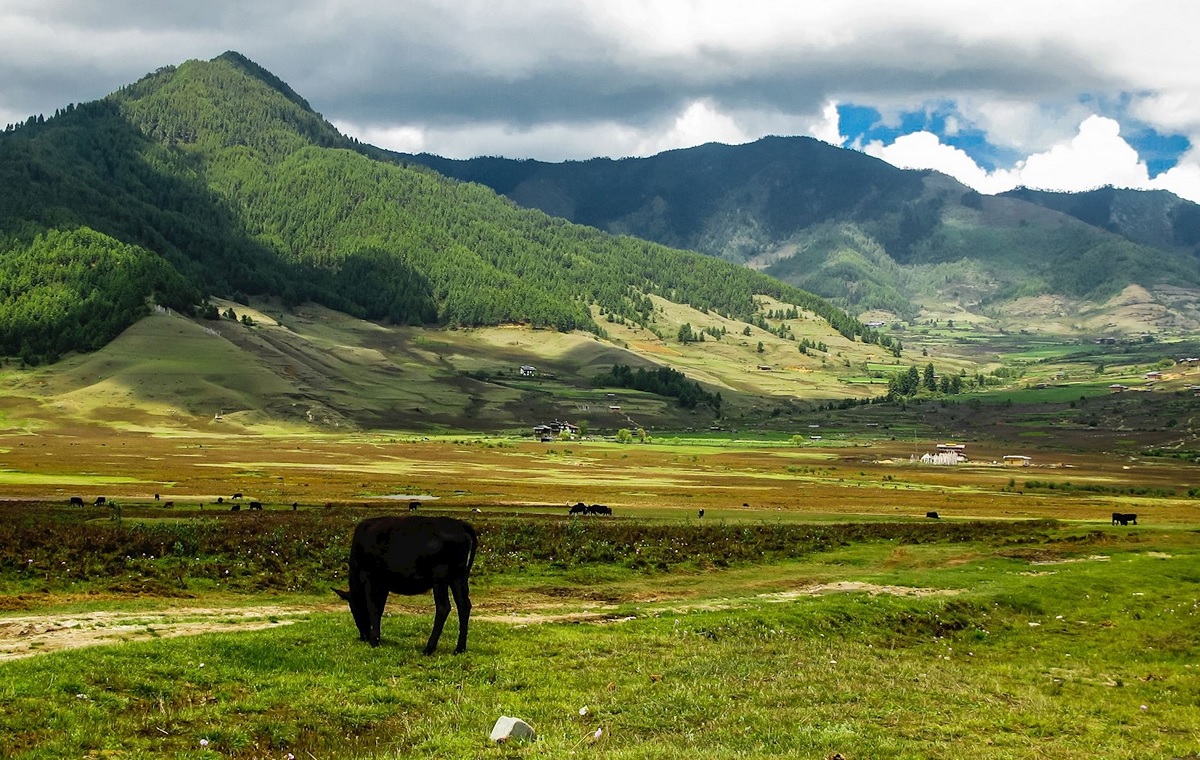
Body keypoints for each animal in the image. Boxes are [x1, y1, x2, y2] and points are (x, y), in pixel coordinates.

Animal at [336, 516, 480, 653]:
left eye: (353, 609)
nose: (363, 636)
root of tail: (460, 524)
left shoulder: (368, 576)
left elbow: (372, 607)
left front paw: (374, 640)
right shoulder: (383, 584)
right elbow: (380, 608)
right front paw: (377, 637)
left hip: (440, 576)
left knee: (443, 607)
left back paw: (429, 648)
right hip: (459, 576)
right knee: (464, 606)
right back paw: (459, 649)